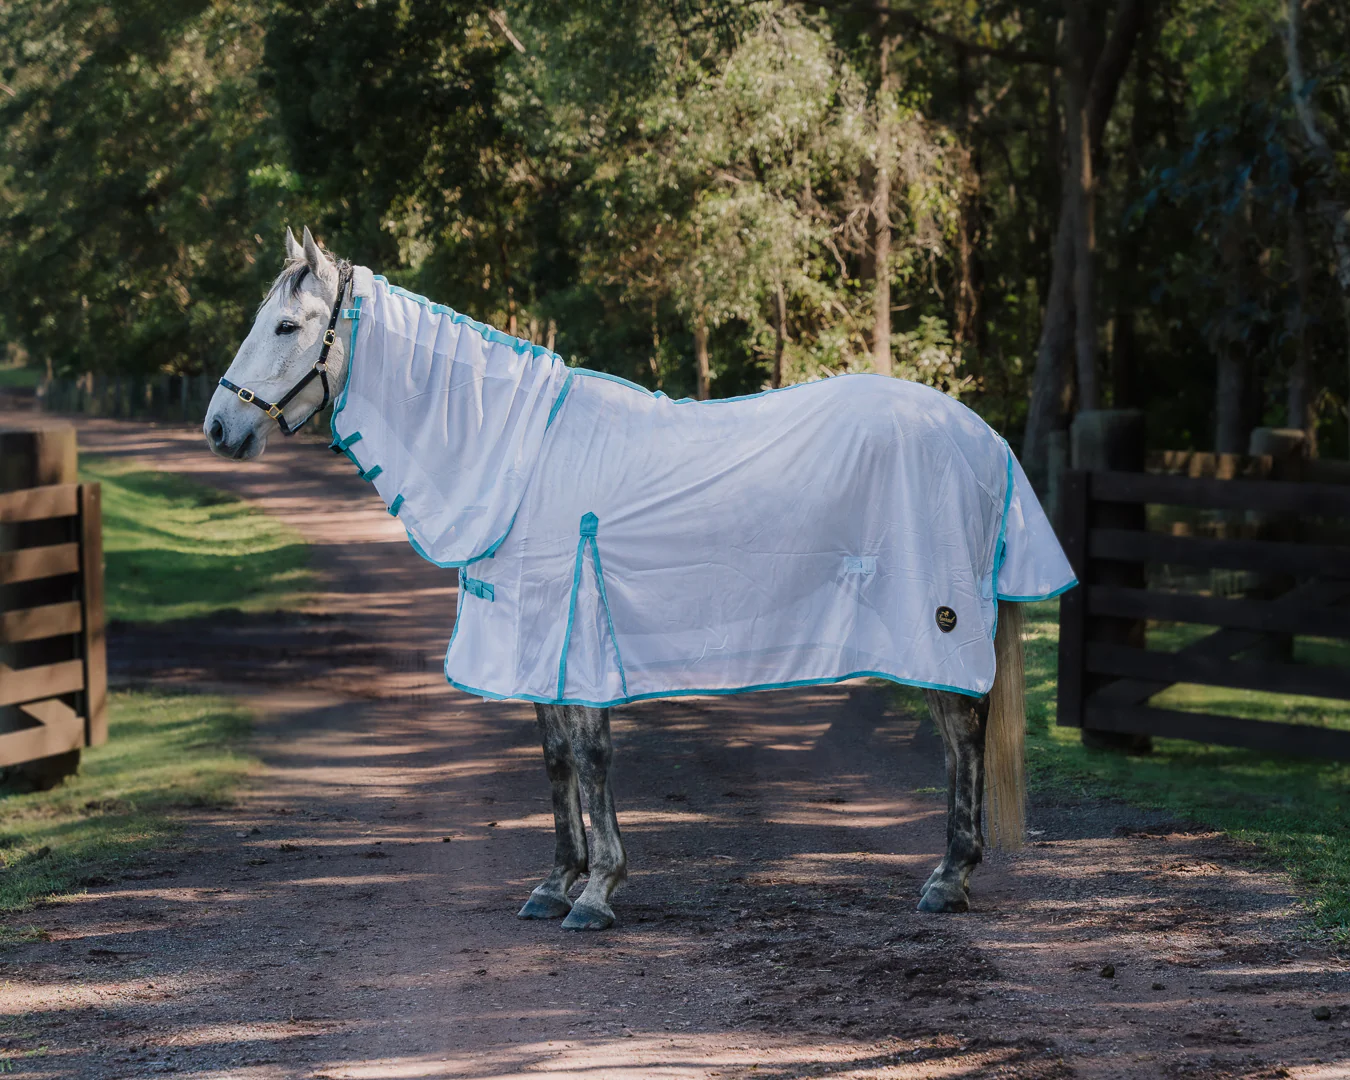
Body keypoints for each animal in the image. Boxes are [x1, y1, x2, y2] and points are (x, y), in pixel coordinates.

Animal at [204, 227, 1074, 931]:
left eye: (286, 326)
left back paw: (949, 880)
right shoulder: (540, 638)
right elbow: (556, 760)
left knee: (962, 730)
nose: (219, 427)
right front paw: (555, 884)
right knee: (955, 734)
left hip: (937, 620)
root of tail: (981, 434)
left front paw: (596, 895)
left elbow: (591, 760)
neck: (521, 457)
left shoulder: (578, 626)